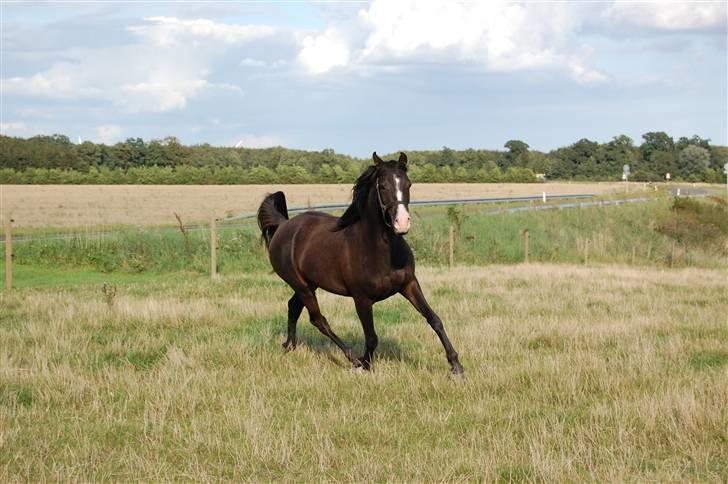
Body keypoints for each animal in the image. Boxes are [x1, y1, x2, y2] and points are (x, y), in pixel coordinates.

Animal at [257, 152, 464, 375]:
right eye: (383, 186)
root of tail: (283, 226)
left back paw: (290, 346)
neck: (380, 251)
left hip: (310, 284)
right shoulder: (362, 299)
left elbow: (434, 319)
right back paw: (353, 359)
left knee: (293, 307)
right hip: (301, 285)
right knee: (318, 320)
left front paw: (456, 366)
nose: (402, 223)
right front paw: (365, 364)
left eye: (408, 184)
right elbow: (372, 337)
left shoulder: (409, 284)